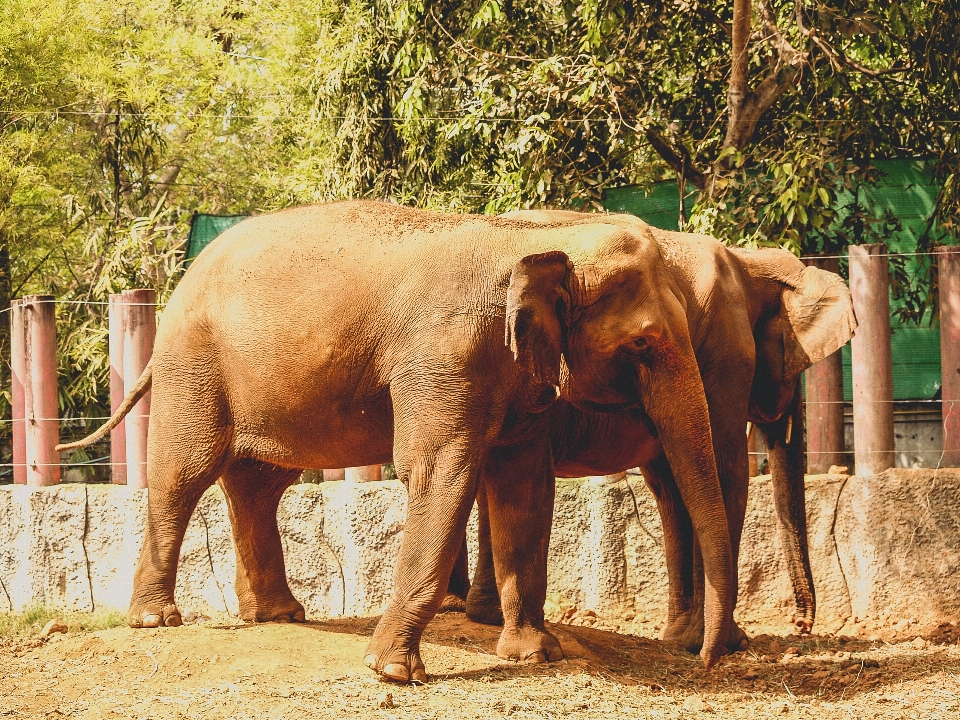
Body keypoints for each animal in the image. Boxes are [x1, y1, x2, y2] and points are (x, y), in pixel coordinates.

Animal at [60, 198, 736, 680]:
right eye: (642, 345)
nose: (704, 660)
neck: (523, 239)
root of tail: (179, 284)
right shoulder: (443, 355)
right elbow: (438, 473)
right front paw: (390, 672)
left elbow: (522, 487)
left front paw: (534, 655)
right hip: (194, 366)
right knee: (184, 472)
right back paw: (155, 619)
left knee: (258, 481)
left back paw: (277, 615)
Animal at [462, 210, 860, 652]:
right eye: (795, 370)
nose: (801, 623)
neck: (751, 261)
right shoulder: (728, 350)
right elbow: (724, 473)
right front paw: (722, 641)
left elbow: (673, 487)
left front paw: (684, 637)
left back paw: (479, 613)